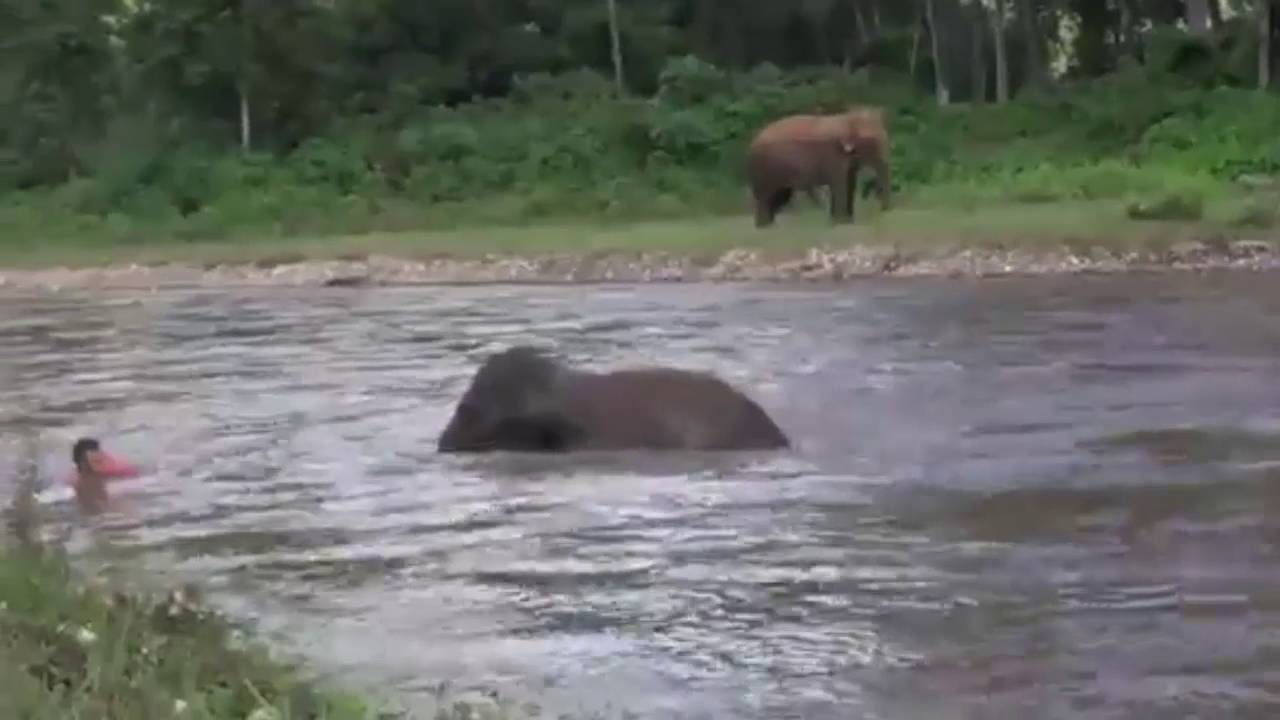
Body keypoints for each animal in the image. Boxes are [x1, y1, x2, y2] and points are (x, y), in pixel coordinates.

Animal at [747, 103, 890, 225]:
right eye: (869, 140)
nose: (884, 210)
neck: (846, 118)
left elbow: (850, 182)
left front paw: (845, 221)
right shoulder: (833, 155)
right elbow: (840, 184)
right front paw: (842, 222)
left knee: (779, 196)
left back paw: (770, 225)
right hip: (764, 169)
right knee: (765, 196)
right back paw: (764, 226)